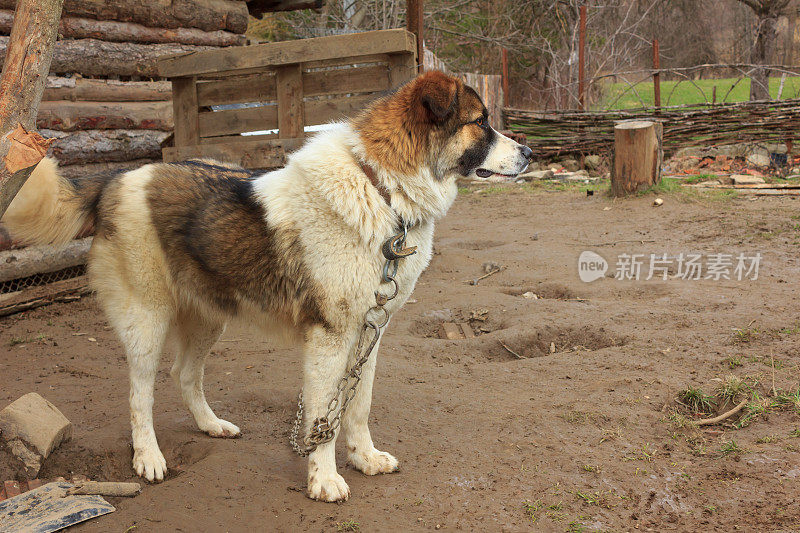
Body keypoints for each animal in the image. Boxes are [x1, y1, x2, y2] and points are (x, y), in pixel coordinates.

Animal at [1, 70, 532, 498]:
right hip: (147, 320)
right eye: (481, 122)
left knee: (184, 374)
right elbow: (323, 418)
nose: (529, 153)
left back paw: (211, 425)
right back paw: (148, 458)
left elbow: (357, 406)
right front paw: (324, 480)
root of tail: (115, 178)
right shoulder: (329, 339)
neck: (380, 189)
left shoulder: (369, 333)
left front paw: (364, 459)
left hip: (208, 317)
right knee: (140, 393)